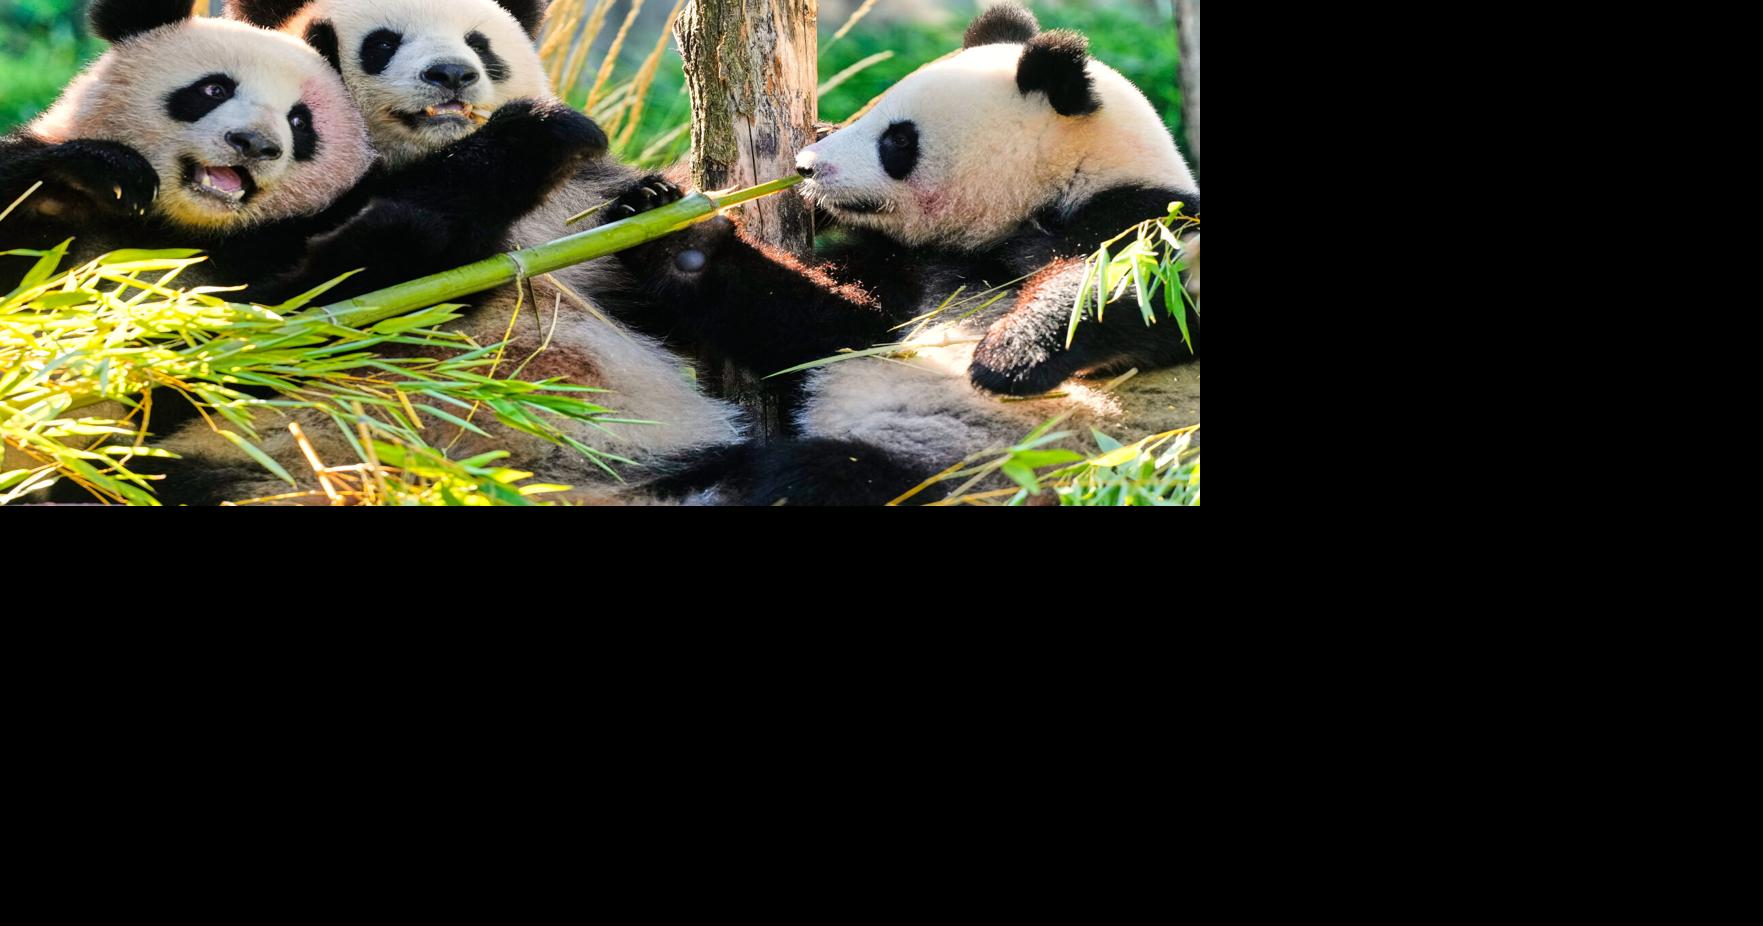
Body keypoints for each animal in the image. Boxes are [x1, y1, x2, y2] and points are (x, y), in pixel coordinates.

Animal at [609, 4, 1202, 505]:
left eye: (897, 139)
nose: (805, 165)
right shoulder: (904, 270)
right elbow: (823, 327)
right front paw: (670, 230)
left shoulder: (1138, 213)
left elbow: (1149, 293)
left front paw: (1009, 355)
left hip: (967, 468)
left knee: (822, 480)